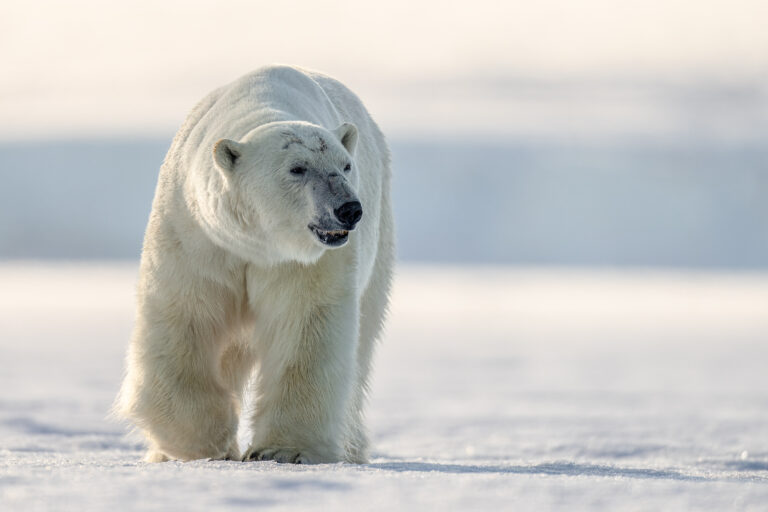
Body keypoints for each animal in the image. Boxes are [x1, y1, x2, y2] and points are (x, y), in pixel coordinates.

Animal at [114, 64, 396, 464]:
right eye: (297, 168)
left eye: (345, 165)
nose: (349, 209)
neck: (256, 243)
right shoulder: (196, 236)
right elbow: (185, 319)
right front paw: (203, 443)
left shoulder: (303, 262)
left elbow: (305, 327)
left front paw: (284, 450)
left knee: (363, 341)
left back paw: (351, 449)